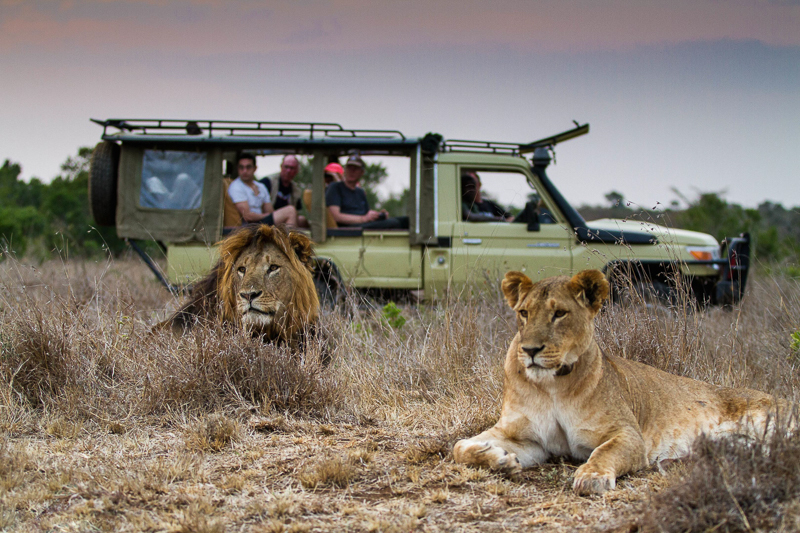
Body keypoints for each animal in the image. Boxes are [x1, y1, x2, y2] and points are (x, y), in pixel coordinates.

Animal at [454, 270, 792, 494]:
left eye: (560, 313)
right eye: (523, 313)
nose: (530, 350)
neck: (552, 385)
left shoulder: (628, 434)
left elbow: (603, 452)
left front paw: (592, 477)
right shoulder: (527, 439)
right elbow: (459, 446)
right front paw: (498, 459)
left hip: (772, 421)